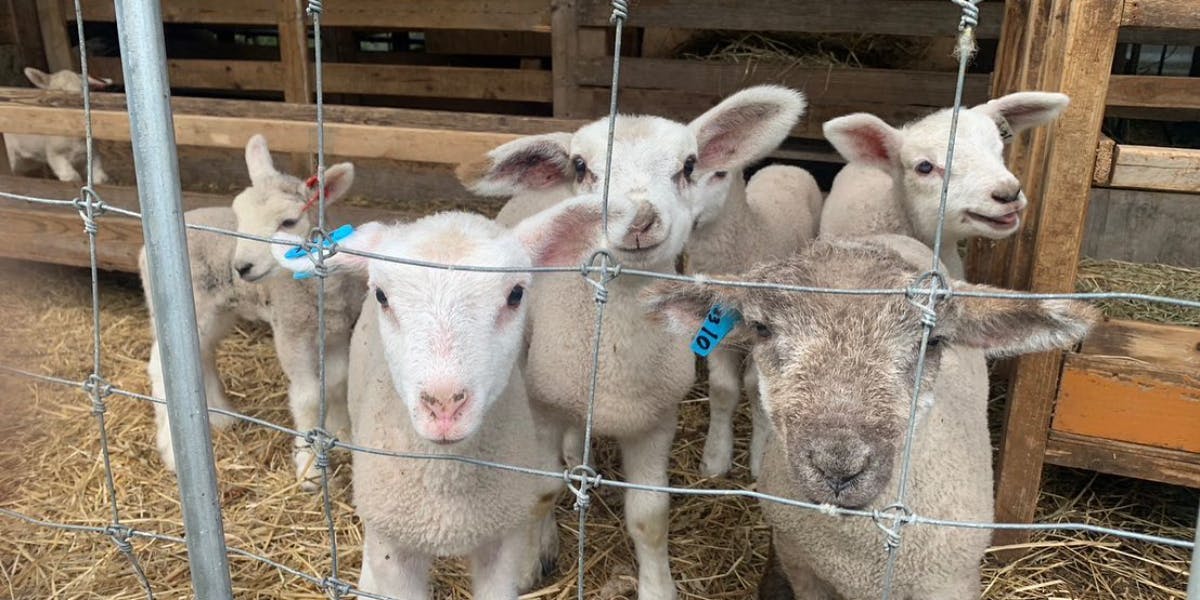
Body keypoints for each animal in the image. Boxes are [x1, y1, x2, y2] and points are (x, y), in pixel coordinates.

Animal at [141, 132, 364, 487]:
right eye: (240, 216)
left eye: (288, 222)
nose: (241, 267)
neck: (317, 292)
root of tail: (143, 248)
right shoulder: (290, 330)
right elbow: (308, 395)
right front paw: (309, 467)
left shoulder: (337, 329)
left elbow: (338, 382)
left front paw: (343, 432)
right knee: (160, 366)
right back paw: (172, 451)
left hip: (217, 309)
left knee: (202, 353)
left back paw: (221, 416)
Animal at [270, 195, 619, 595]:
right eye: (382, 295)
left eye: (516, 294)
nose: (444, 406)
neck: (446, 490)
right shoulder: (395, 547)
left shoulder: (502, 541)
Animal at [456, 87, 806, 597]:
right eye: (581, 166)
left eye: (689, 165)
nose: (639, 217)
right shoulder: (544, 407)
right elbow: (540, 492)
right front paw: (527, 562)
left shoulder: (655, 422)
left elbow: (650, 517)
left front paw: (658, 586)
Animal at [648, 234, 1099, 600]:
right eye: (761, 328)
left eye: (934, 340)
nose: (838, 467)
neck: (857, 558)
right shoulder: (803, 569)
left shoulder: (950, 582)